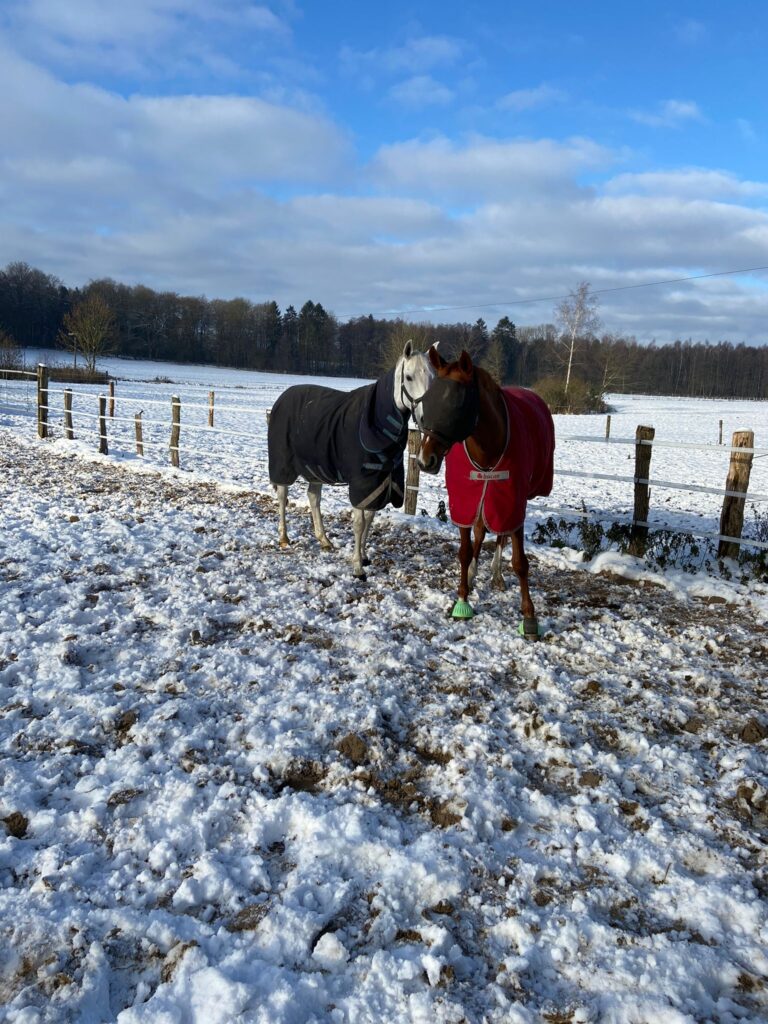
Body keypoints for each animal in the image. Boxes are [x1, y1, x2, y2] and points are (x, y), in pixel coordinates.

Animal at [268, 341, 433, 579]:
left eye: (432, 377)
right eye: (409, 377)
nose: (425, 419)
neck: (375, 423)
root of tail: (282, 397)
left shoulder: (378, 483)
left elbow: (369, 519)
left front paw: (364, 556)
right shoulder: (360, 482)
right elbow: (359, 523)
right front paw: (357, 567)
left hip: (315, 468)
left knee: (313, 498)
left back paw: (324, 540)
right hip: (284, 466)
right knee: (282, 498)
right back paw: (284, 538)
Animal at [416, 346, 555, 638]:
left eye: (457, 404)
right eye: (428, 400)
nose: (425, 460)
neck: (487, 447)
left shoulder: (512, 500)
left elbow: (520, 562)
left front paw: (529, 618)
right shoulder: (466, 499)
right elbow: (465, 550)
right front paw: (462, 599)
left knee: (501, 536)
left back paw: (496, 574)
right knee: (481, 532)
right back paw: (474, 573)